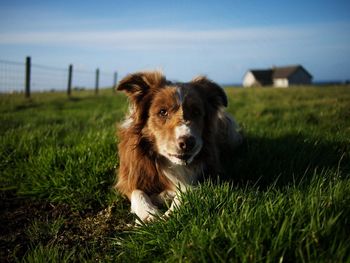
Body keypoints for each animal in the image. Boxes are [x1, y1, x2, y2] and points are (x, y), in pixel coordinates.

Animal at [115, 71, 241, 224]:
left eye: (196, 112)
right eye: (162, 112)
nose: (188, 143)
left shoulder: (213, 175)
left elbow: (185, 190)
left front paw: (168, 213)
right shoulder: (130, 176)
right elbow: (137, 192)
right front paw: (148, 215)